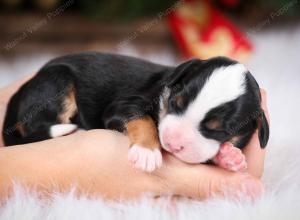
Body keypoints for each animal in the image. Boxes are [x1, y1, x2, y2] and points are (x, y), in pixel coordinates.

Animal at [1, 51, 270, 172]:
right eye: (176, 103)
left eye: (219, 131)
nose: (172, 142)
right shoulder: (121, 106)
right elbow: (142, 119)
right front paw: (146, 152)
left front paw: (229, 157)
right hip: (56, 82)